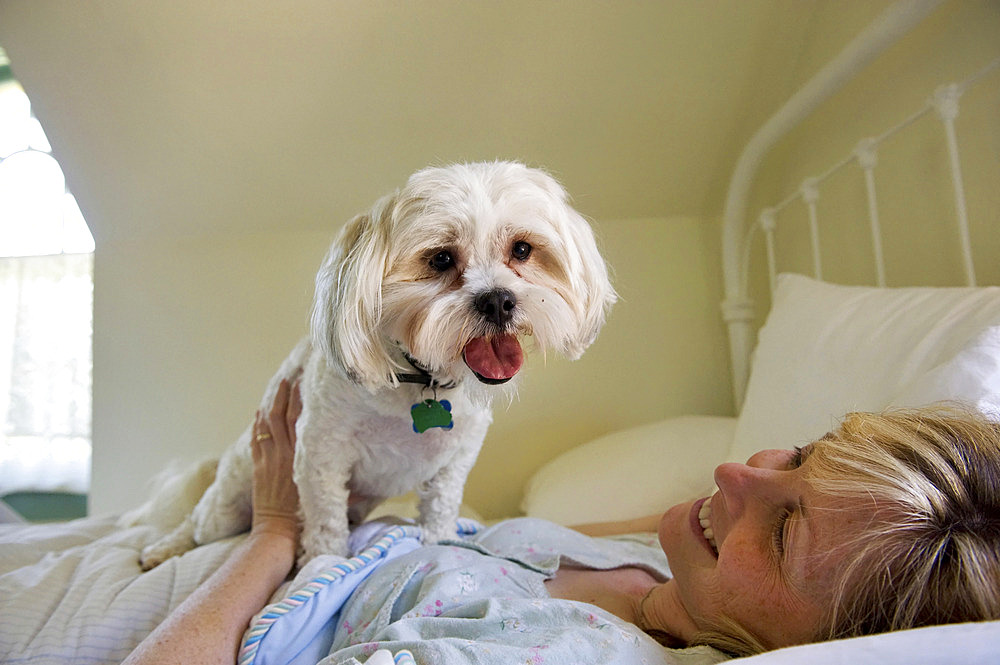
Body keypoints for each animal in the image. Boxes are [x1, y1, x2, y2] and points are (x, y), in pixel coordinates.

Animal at [136, 160, 612, 564]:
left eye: (523, 249)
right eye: (440, 258)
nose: (497, 300)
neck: (420, 380)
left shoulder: (456, 458)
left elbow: (441, 505)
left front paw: (439, 542)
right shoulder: (322, 451)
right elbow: (325, 519)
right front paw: (321, 564)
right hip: (228, 502)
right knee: (196, 526)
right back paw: (162, 549)